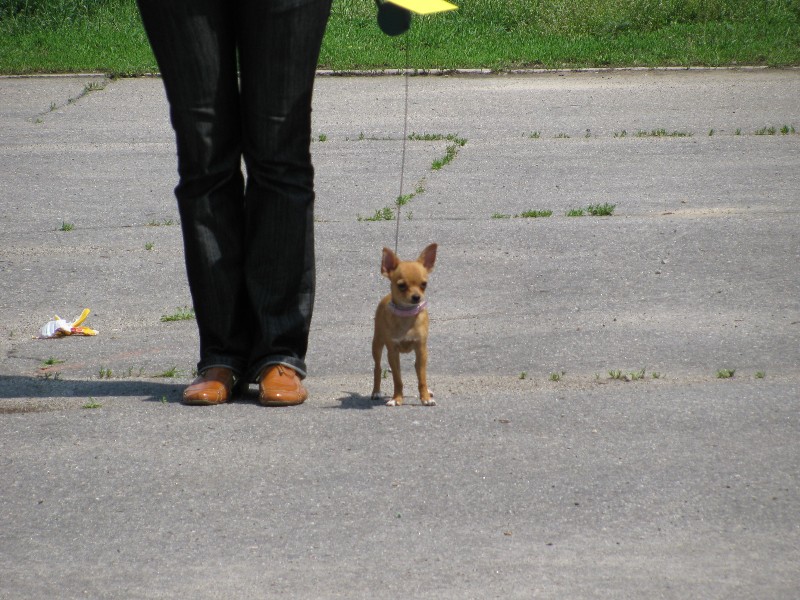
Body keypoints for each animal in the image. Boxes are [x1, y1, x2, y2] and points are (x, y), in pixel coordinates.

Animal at [371, 243, 437, 406]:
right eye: (401, 286)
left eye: (424, 284)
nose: (416, 297)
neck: (406, 316)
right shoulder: (392, 352)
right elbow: (397, 379)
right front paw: (397, 398)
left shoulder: (421, 350)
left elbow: (422, 378)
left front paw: (425, 397)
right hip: (377, 344)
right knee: (377, 367)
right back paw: (376, 392)